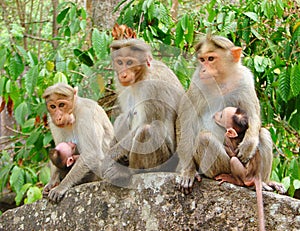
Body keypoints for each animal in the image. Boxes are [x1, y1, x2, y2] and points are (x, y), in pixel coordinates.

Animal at [106, 38, 184, 174]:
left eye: (130, 62)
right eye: (120, 62)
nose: (123, 74)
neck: (141, 75)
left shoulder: (151, 86)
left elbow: (144, 123)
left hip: (164, 159)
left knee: (145, 130)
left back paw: (133, 170)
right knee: (123, 117)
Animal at [176, 33, 284, 195]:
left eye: (211, 59)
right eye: (202, 59)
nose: (202, 70)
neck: (222, 80)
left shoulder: (245, 79)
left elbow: (253, 115)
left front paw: (248, 144)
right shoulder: (196, 84)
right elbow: (185, 122)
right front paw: (188, 171)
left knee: (263, 133)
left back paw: (263, 182)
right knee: (204, 138)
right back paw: (231, 178)